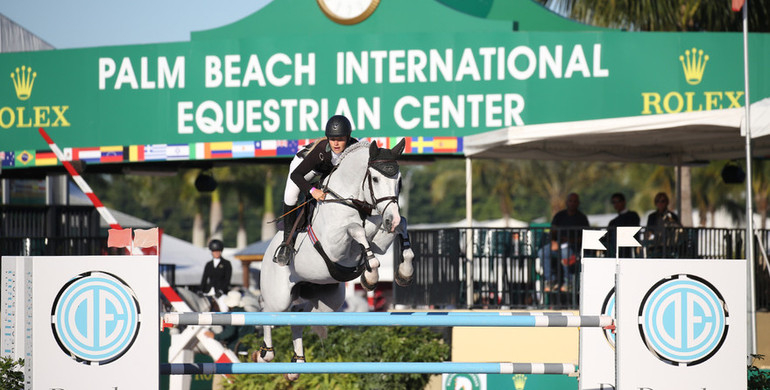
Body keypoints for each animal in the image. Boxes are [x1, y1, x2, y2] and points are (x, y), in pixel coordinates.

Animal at [256, 139, 414, 378]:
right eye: (375, 179)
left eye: (400, 181)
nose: (391, 219)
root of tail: (266, 255)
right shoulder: (335, 246)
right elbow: (356, 229)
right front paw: (371, 274)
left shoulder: (379, 234)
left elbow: (399, 226)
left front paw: (404, 271)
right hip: (279, 298)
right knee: (267, 312)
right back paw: (265, 353)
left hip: (327, 304)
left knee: (297, 317)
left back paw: (296, 364)